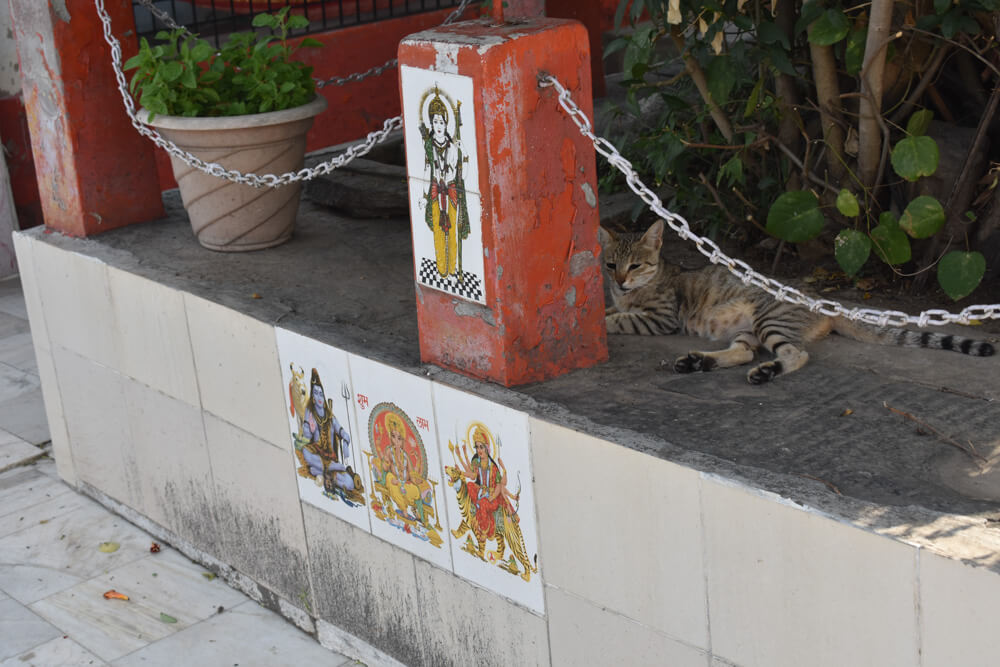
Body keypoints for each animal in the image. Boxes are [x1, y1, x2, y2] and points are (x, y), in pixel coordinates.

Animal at [596, 220, 996, 386]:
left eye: (635, 265)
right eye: (611, 264)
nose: (619, 280)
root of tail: (818, 300)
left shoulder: (660, 318)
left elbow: (616, 319)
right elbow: (610, 311)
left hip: (768, 322)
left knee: (796, 354)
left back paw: (764, 372)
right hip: (748, 329)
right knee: (744, 352)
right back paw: (699, 362)